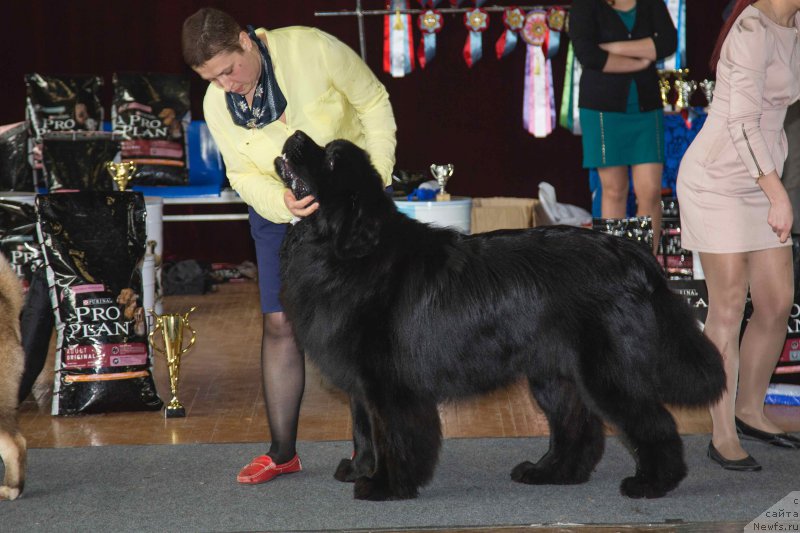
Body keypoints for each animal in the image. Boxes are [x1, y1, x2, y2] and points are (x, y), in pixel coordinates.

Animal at [274, 129, 724, 498]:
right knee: (577, 428)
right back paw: (549, 473)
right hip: (553, 370)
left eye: (332, 159)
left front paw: (386, 485)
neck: (344, 252)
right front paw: (360, 470)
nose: (293, 134)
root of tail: (632, 252)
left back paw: (652, 483)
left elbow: (394, 436)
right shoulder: (361, 383)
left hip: (608, 371)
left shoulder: (390, 383)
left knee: (653, 423)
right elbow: (363, 429)